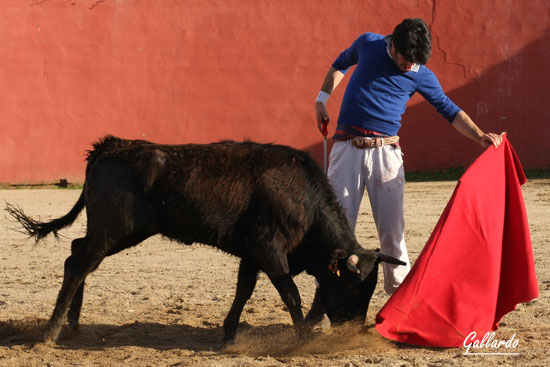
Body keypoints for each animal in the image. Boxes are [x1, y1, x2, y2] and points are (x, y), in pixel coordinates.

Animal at [6, 136, 408, 344]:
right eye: (353, 287)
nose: (352, 331)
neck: (302, 199)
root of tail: (111, 147)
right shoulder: (269, 250)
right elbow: (290, 293)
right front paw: (301, 337)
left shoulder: (252, 253)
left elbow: (244, 290)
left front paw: (229, 334)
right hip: (113, 230)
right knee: (78, 264)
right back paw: (50, 334)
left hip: (116, 233)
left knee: (76, 255)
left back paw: (72, 325)